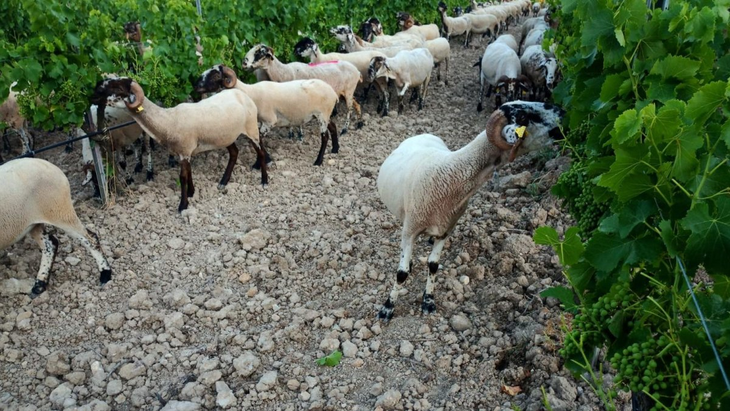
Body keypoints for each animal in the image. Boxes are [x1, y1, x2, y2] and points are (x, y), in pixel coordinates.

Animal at [0, 158, 113, 295]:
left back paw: (105, 274)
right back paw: (39, 284)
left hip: (60, 211)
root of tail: (48, 164)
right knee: (50, 245)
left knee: (90, 238)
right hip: (34, 223)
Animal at [91, 77, 265, 212]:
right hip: (226, 136)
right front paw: (191, 193)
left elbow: (183, 177)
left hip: (251, 128)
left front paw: (183, 205)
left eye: (118, 88)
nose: (96, 89)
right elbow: (188, 173)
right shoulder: (185, 152)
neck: (168, 120)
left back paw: (264, 181)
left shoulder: (185, 151)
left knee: (261, 152)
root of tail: (242, 94)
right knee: (234, 152)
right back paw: (223, 182)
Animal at [195, 65, 339, 166]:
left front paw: (261, 162)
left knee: (325, 136)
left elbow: (259, 142)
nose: (195, 85)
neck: (250, 92)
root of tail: (333, 93)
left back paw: (318, 161)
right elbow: (257, 142)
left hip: (322, 115)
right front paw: (263, 161)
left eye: (215, 76)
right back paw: (335, 149)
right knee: (333, 126)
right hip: (324, 115)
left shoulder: (269, 121)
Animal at [375, 101, 564, 321]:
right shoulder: (411, 229)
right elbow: (402, 273)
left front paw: (428, 301)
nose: (563, 112)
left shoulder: (446, 228)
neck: (451, 174)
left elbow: (433, 265)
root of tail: (422, 134)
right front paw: (387, 307)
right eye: (525, 117)